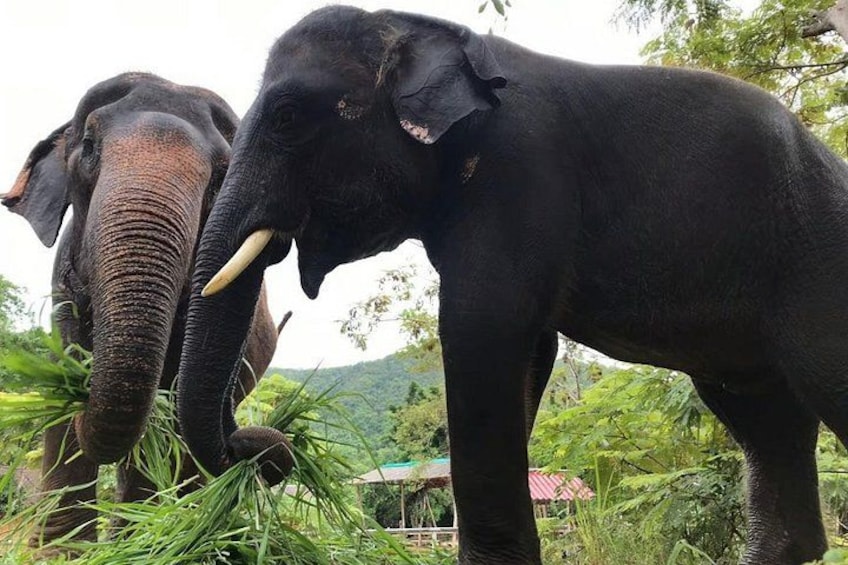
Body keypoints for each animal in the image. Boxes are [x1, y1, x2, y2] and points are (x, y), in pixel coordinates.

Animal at [2, 72, 291, 546]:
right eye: (88, 145)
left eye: (221, 176)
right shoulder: (62, 285)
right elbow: (66, 373)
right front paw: (61, 550)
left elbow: (164, 407)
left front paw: (135, 545)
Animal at [175, 6, 848, 565]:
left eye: (288, 117)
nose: (268, 446)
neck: (414, 28)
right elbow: (528, 350)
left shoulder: (520, 167)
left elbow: (481, 329)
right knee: (762, 424)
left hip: (818, 261)